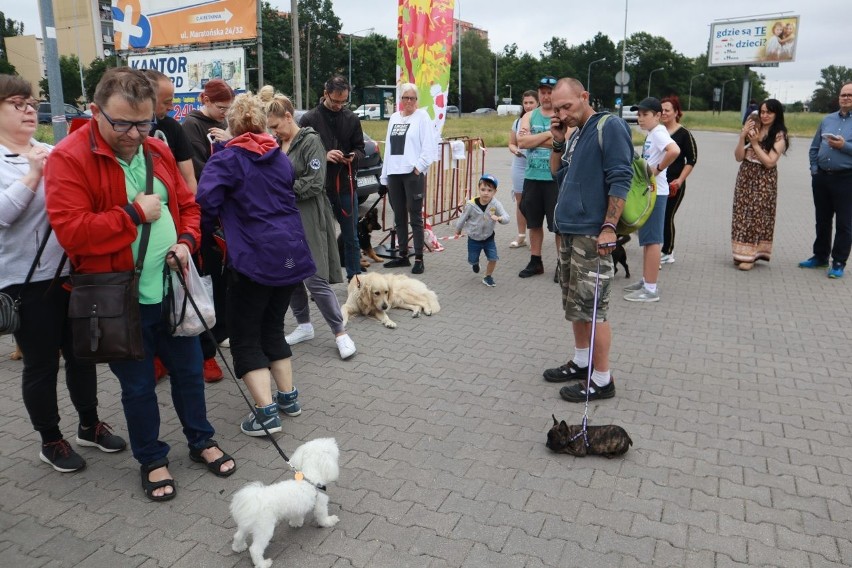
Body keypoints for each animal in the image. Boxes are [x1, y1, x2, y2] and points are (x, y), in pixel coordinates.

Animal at [233, 440, 342, 568]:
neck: (310, 479)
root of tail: (255, 500)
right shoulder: (320, 503)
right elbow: (322, 517)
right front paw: (330, 521)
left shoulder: (297, 508)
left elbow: (296, 516)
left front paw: (296, 523)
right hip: (264, 528)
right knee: (255, 549)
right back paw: (263, 563)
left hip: (246, 525)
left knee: (238, 535)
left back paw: (238, 547)